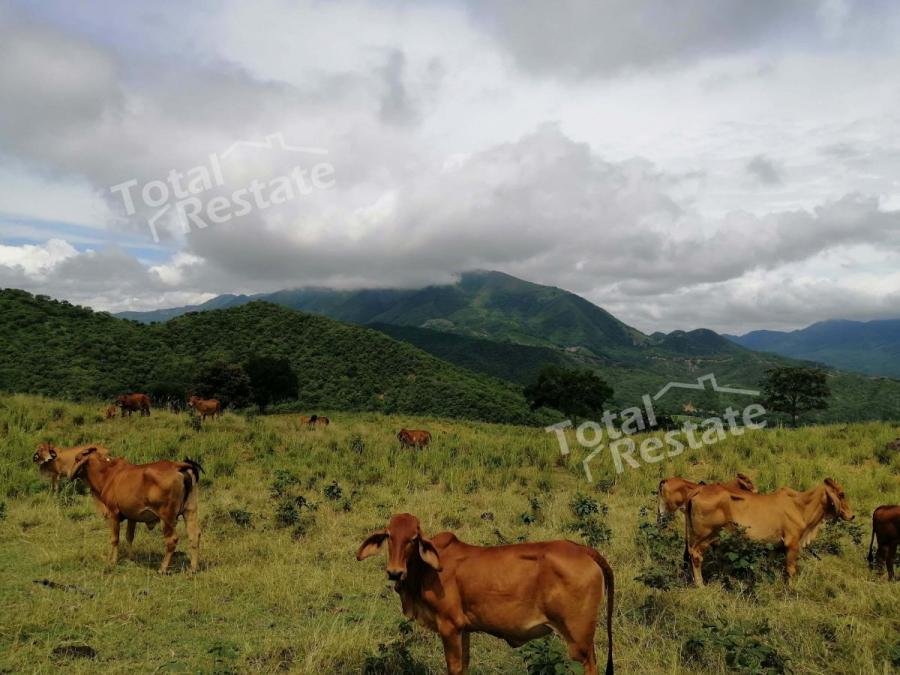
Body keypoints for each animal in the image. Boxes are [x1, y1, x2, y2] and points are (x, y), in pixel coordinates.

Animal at [70, 446, 204, 572]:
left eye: (77, 458)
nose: (69, 474)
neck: (107, 474)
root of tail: (177, 466)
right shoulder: (132, 516)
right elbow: (129, 537)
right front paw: (130, 559)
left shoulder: (113, 513)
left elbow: (115, 539)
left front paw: (112, 561)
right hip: (190, 511)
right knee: (194, 535)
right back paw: (193, 568)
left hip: (167, 517)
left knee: (172, 540)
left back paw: (163, 568)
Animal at [356, 512, 616, 675]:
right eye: (389, 536)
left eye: (413, 539)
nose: (395, 572)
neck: (424, 571)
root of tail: (582, 550)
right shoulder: (464, 629)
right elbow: (464, 666)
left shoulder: (449, 626)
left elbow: (454, 668)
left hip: (579, 640)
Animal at [684, 476, 856, 588]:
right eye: (841, 494)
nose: (852, 515)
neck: (801, 506)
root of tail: (699, 490)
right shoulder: (792, 544)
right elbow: (791, 570)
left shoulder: (775, 545)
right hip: (706, 535)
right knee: (696, 556)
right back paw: (700, 585)